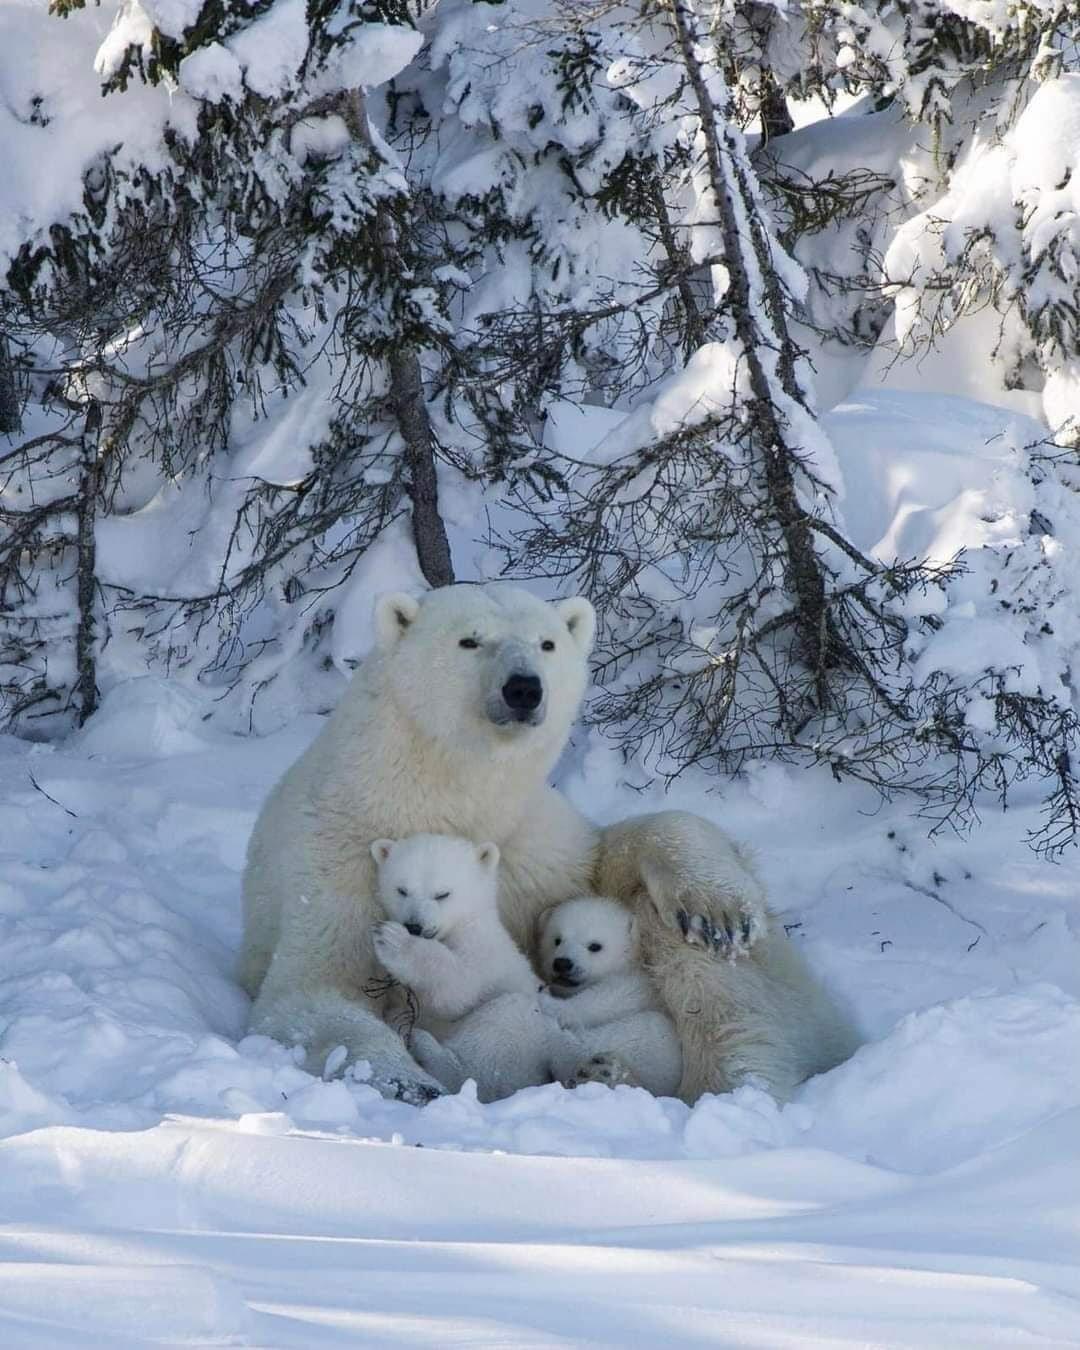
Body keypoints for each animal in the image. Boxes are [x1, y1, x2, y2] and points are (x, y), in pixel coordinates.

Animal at [369, 826, 564, 1101]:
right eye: (402, 890)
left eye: (442, 894)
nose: (414, 926)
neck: (457, 926)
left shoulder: (481, 945)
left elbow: (460, 988)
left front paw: (392, 939)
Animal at [540, 896, 683, 1096]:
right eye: (557, 940)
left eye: (595, 946)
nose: (562, 963)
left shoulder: (640, 986)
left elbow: (606, 999)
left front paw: (549, 1003)